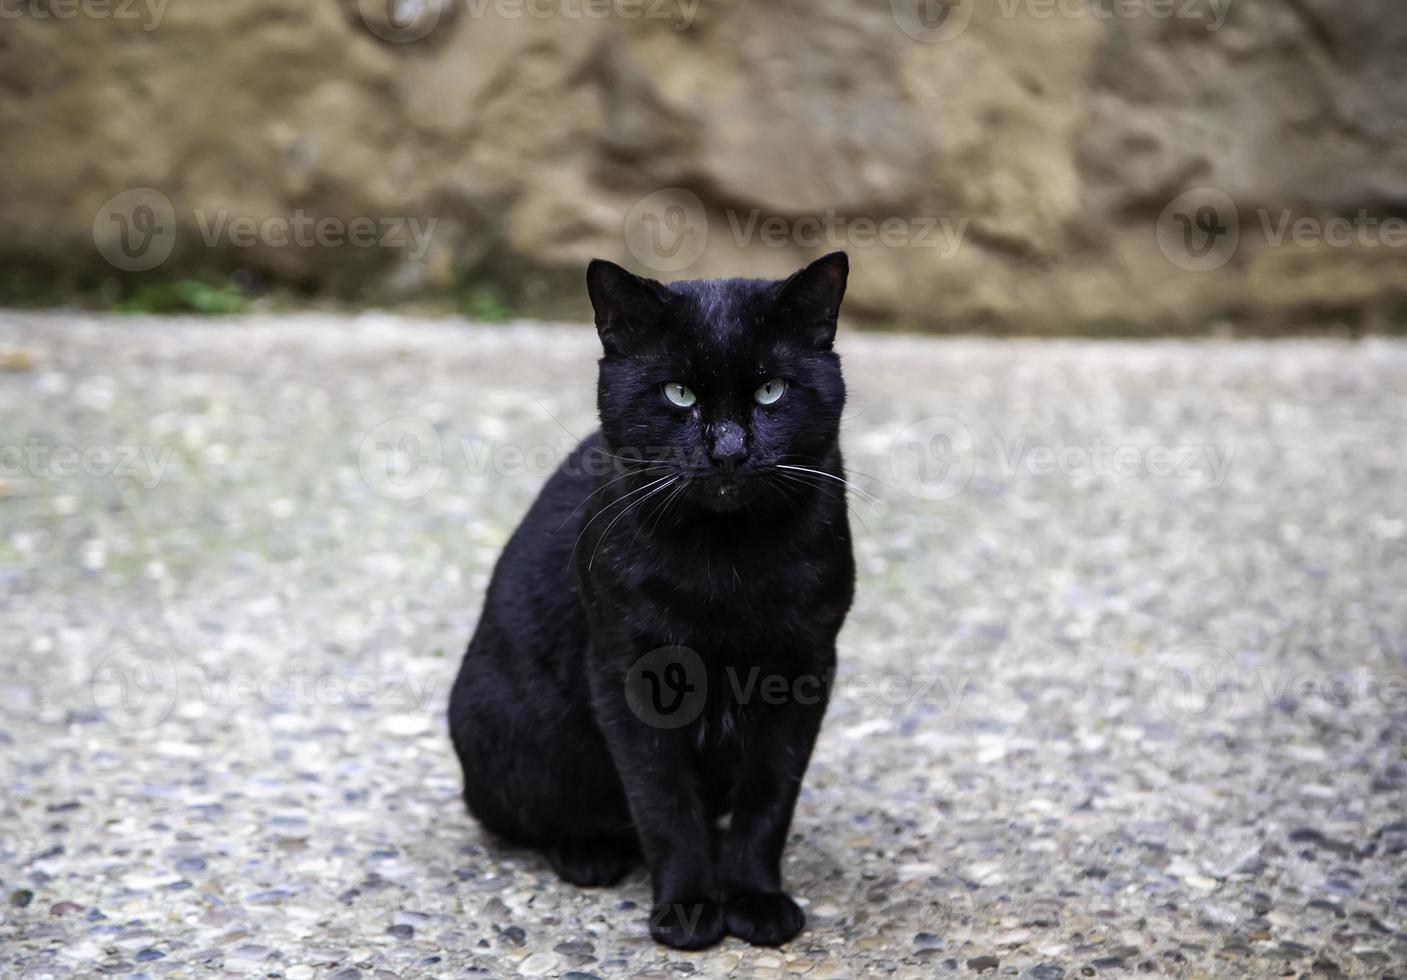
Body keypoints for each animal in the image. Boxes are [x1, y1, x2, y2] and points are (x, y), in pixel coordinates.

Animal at [450, 250, 849, 950]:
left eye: (771, 391)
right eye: (678, 394)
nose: (729, 451)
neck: (728, 562)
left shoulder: (804, 671)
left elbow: (769, 799)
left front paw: (755, 899)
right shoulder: (629, 672)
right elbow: (663, 802)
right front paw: (688, 908)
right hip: (508, 729)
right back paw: (588, 855)